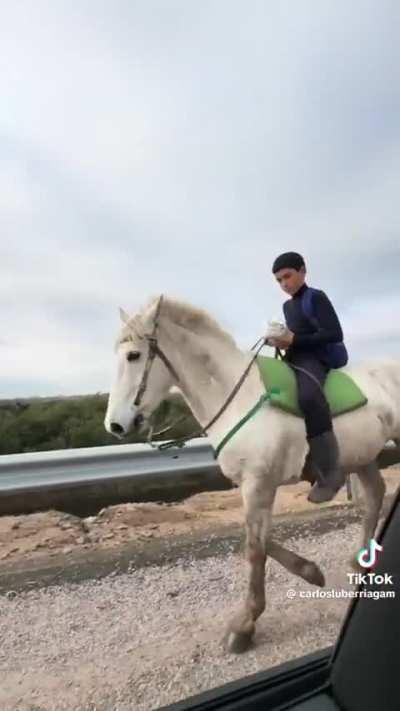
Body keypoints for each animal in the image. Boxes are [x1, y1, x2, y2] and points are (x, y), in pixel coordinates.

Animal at [104, 296, 400, 656]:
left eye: (133, 355)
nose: (115, 425)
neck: (237, 397)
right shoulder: (250, 485)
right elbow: (258, 538)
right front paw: (311, 572)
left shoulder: (259, 484)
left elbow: (254, 549)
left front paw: (245, 625)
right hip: (361, 456)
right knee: (373, 496)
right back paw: (360, 563)